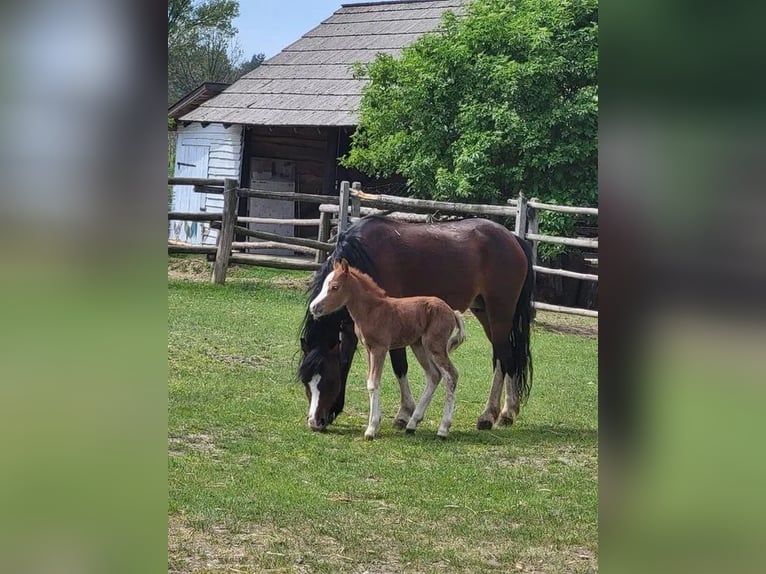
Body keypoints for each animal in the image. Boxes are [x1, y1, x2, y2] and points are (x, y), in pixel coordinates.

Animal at [308, 260, 464, 440]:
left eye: (334, 287)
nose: (314, 307)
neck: (372, 311)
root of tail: (452, 311)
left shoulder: (380, 349)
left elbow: (373, 383)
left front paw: (371, 429)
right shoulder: (369, 350)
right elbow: (370, 382)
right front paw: (372, 426)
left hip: (435, 346)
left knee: (451, 376)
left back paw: (443, 429)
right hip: (419, 346)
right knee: (434, 375)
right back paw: (412, 424)